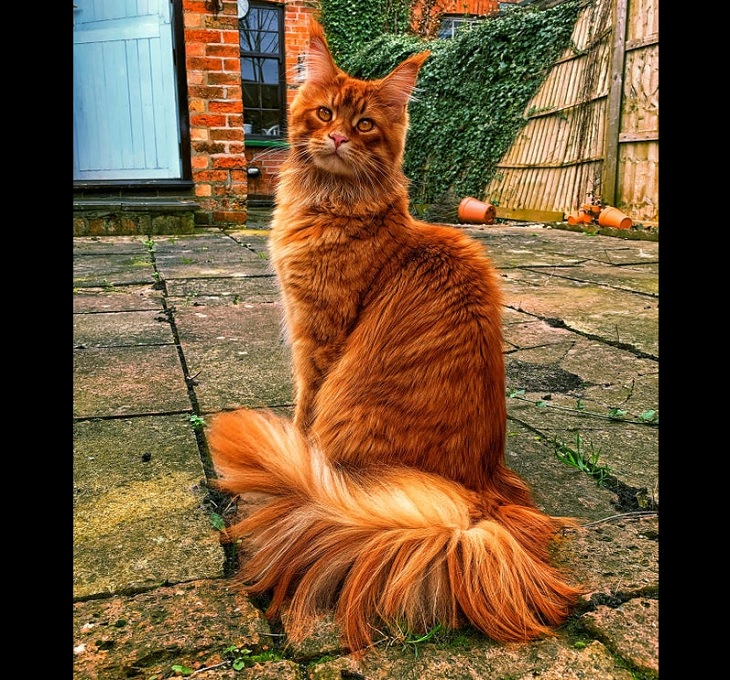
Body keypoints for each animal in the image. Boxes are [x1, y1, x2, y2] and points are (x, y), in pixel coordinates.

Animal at [206, 18, 580, 652]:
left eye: (364, 125)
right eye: (324, 113)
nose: (336, 139)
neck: (333, 207)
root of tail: (481, 501)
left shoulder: (317, 339)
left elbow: (303, 410)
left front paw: (295, 449)